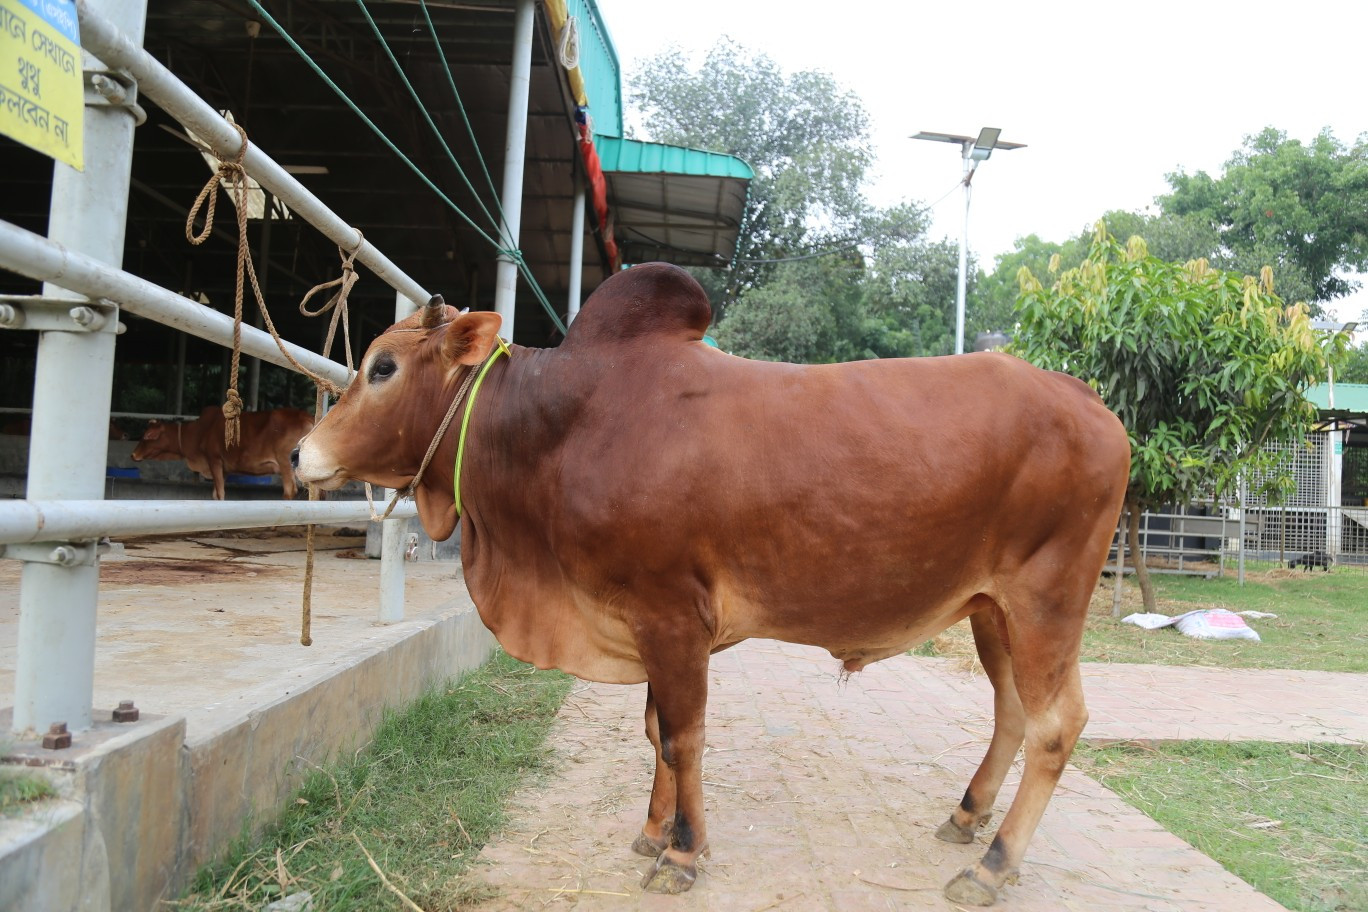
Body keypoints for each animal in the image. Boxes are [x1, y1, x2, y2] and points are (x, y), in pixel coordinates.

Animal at [133, 405, 314, 500]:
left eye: (147, 435)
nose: (133, 454)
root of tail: (307, 417)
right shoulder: (224, 468)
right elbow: (216, 493)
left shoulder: (214, 460)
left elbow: (220, 493)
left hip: (285, 464)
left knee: (290, 491)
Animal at [292, 263, 1130, 905]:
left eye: (383, 366)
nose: (300, 454)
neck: (559, 426)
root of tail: (1087, 399)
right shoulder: (643, 621)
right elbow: (655, 731)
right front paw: (653, 830)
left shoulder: (672, 616)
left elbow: (683, 736)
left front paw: (683, 853)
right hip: (994, 610)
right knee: (1013, 711)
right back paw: (966, 818)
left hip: (1047, 601)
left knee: (1057, 726)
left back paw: (991, 866)